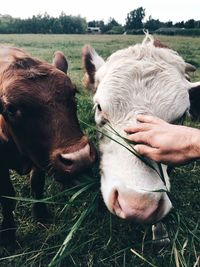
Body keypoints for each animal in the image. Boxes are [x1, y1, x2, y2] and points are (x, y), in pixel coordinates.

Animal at [0, 47, 96, 246]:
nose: (80, 158)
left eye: (73, 92)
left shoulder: (40, 157)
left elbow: (37, 184)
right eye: (10, 108)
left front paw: (41, 214)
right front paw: (8, 234)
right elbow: (7, 197)